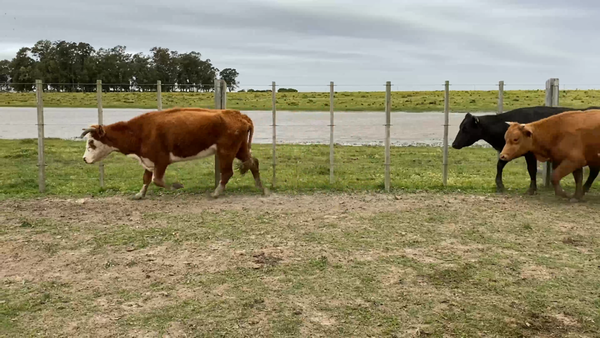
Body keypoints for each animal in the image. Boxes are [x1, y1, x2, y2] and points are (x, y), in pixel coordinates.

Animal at [79, 107, 268, 199]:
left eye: (91, 142)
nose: (85, 159)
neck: (140, 131)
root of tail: (240, 115)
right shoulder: (148, 160)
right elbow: (146, 179)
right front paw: (140, 194)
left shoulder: (161, 160)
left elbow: (157, 180)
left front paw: (177, 186)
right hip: (240, 149)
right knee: (253, 162)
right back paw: (261, 188)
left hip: (226, 151)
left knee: (227, 172)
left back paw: (216, 192)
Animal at [452, 105, 600, 195]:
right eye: (460, 127)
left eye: (465, 128)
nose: (453, 144)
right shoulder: (508, 151)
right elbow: (500, 164)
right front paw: (500, 185)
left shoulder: (529, 154)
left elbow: (531, 169)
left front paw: (531, 189)